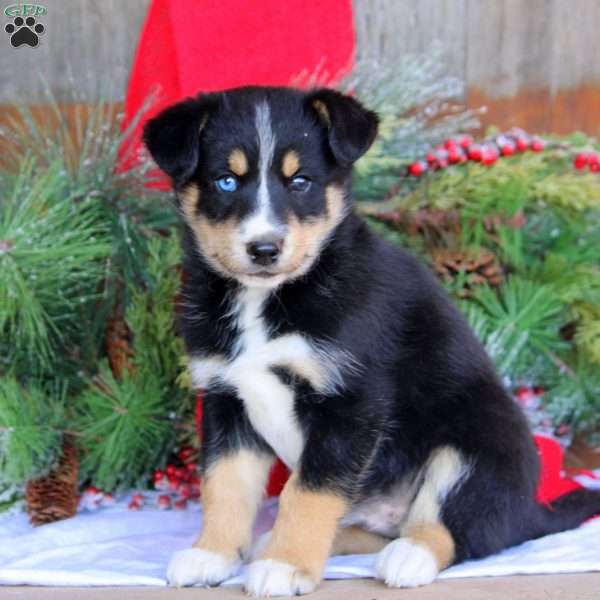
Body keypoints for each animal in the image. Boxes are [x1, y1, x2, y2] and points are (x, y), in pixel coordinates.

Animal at [144, 86, 600, 596]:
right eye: (225, 181)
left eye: (300, 181)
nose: (264, 249)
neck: (266, 301)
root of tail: (528, 510)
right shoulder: (226, 397)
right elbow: (225, 486)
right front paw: (213, 554)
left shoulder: (351, 400)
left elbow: (307, 492)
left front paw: (286, 565)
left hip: (477, 442)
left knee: (460, 528)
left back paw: (410, 555)